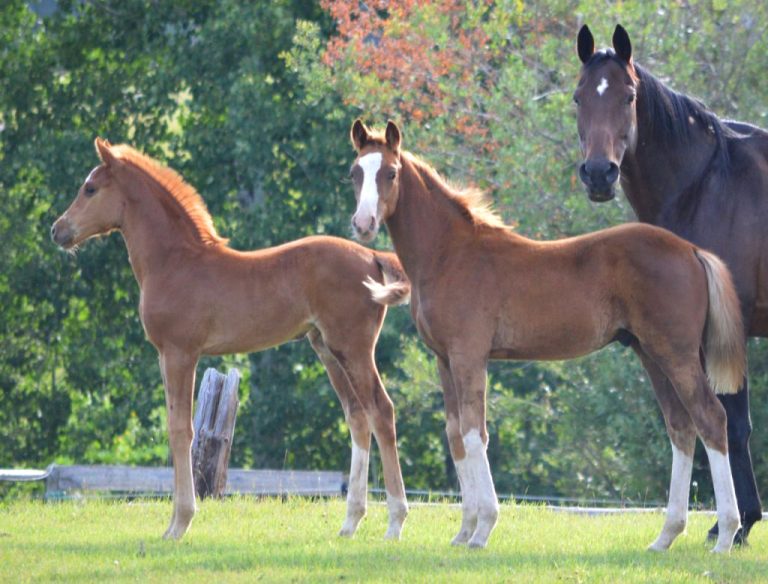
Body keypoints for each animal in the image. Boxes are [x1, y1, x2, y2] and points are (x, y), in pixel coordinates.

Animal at [51, 138, 410, 541]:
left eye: (90, 188)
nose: (57, 230)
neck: (175, 261)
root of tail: (372, 256)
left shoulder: (180, 353)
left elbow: (181, 429)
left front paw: (180, 523)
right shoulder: (165, 355)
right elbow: (175, 426)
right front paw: (174, 523)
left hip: (354, 348)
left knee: (381, 411)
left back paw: (395, 521)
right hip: (327, 349)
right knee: (358, 416)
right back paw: (350, 522)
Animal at [347, 119, 747, 553]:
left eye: (391, 173)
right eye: (355, 173)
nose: (363, 224)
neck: (449, 254)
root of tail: (691, 250)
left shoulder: (469, 355)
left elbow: (474, 432)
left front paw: (483, 529)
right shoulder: (444, 359)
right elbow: (455, 434)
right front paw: (463, 530)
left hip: (677, 354)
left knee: (711, 418)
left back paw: (726, 535)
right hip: (651, 353)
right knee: (681, 427)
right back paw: (665, 536)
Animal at [575, 24, 768, 543]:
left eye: (628, 96)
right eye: (579, 97)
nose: (598, 173)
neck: (707, 184)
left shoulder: (726, 333)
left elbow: (732, 422)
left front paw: (737, 525)